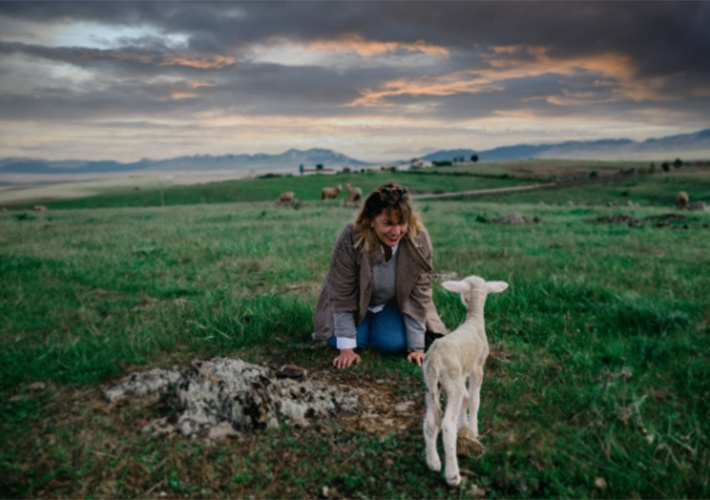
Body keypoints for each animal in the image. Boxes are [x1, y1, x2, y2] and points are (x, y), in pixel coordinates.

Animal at [422, 276, 512, 486]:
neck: (474, 319)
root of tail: (434, 360)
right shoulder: (477, 367)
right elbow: (473, 399)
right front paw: (473, 428)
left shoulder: (463, 371)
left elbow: (465, 398)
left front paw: (463, 424)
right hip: (450, 383)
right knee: (446, 424)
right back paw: (453, 475)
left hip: (432, 385)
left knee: (431, 422)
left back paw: (433, 463)